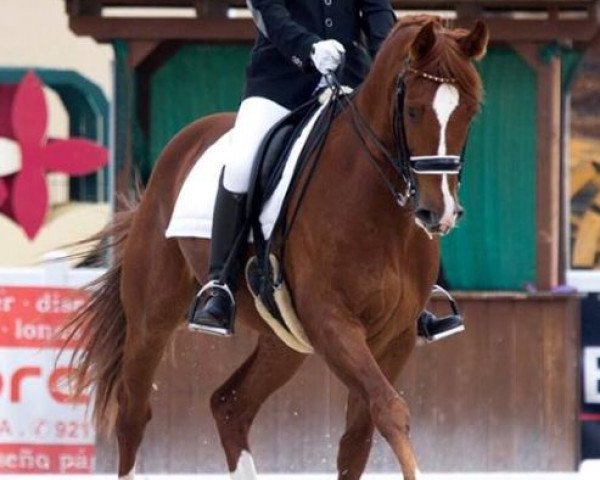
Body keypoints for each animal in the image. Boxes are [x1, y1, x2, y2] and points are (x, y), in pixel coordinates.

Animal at [65, 15, 488, 480]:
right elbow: (390, 410)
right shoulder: (332, 321)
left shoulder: (395, 336)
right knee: (133, 413)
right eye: (412, 110)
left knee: (231, 404)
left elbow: (359, 437)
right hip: (151, 318)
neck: (378, 208)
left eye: (470, 112)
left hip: (283, 340)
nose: (438, 213)